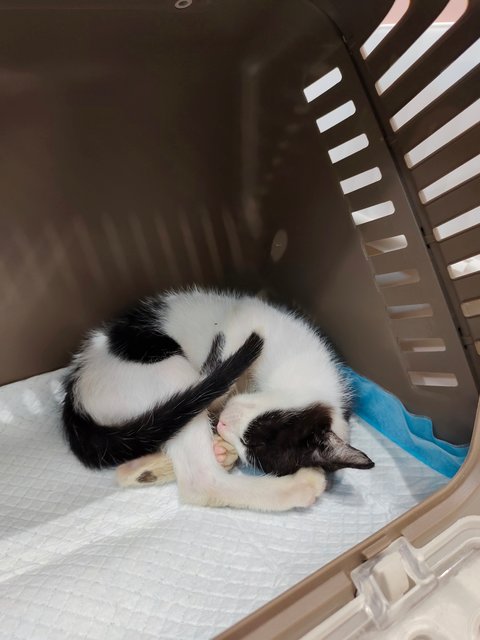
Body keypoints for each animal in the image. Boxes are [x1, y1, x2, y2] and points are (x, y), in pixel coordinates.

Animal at [62, 288, 372, 512]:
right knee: (197, 461)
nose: (224, 425)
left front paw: (224, 447)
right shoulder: (249, 320)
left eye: (251, 447)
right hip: (166, 367)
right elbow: (218, 372)